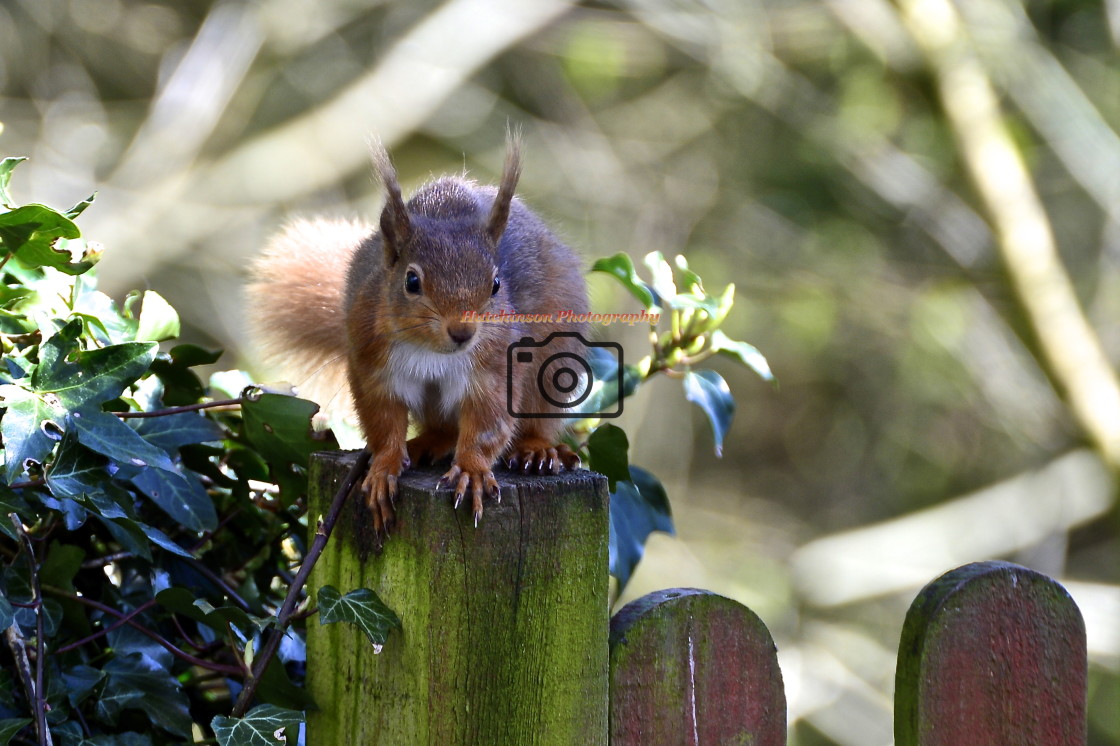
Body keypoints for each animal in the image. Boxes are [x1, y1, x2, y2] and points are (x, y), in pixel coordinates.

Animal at [246, 136, 591, 535]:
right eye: (411, 281)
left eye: (495, 284)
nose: (463, 332)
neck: (432, 350)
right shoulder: (372, 366)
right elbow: (383, 422)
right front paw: (384, 468)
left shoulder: (495, 370)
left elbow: (487, 425)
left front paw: (472, 470)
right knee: (442, 428)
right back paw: (426, 443)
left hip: (551, 368)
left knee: (538, 419)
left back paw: (537, 449)